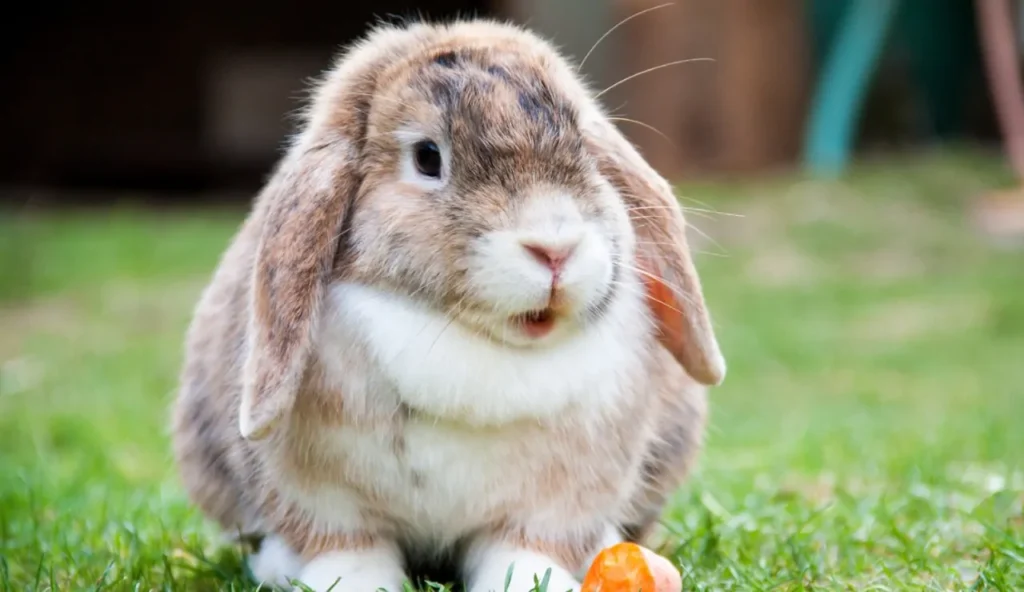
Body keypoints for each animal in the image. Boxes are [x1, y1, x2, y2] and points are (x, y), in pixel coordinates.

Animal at [171, 17, 725, 592]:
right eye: (427, 157)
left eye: (586, 150)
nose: (555, 248)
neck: (472, 341)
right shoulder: (323, 499)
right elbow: (347, 548)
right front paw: (354, 582)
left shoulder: (558, 501)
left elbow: (525, 548)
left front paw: (531, 580)